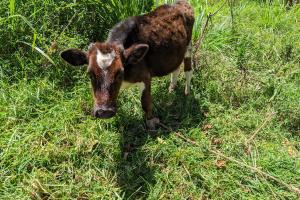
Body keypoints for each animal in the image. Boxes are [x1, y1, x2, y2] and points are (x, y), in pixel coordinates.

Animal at [61, 0, 195, 129]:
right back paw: (171, 90)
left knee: (188, 70)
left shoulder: (145, 77)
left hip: (189, 47)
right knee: (176, 69)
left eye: (120, 72)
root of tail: (180, 3)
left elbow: (145, 102)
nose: (104, 112)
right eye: (90, 74)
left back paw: (187, 94)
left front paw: (151, 122)